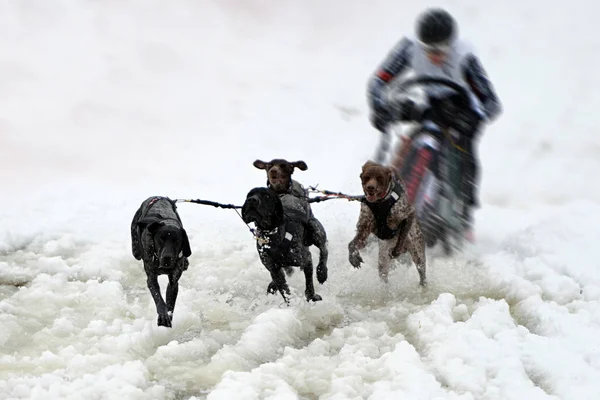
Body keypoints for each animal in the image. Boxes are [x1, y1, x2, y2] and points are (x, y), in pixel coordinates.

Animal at [131, 195, 192, 326]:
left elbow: (170, 302)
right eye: (160, 239)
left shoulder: (174, 282)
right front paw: (163, 315)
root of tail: (158, 197)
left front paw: (168, 315)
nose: (167, 257)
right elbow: (158, 297)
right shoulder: (151, 278)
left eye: (177, 241)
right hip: (136, 251)